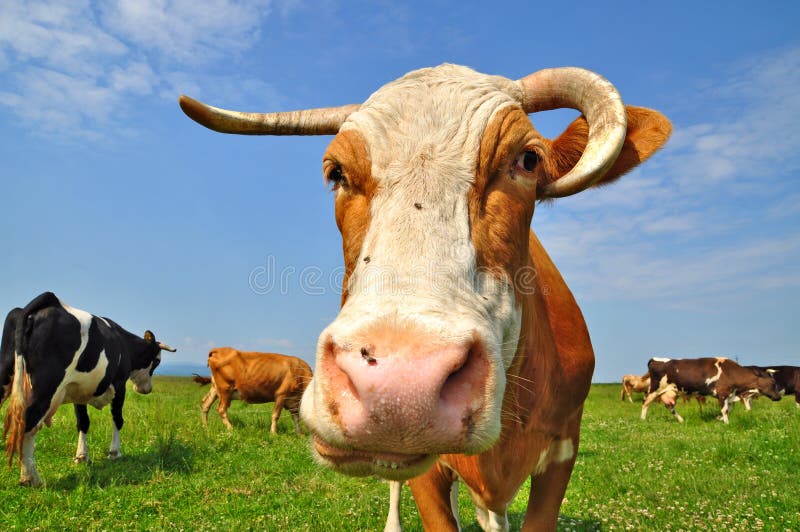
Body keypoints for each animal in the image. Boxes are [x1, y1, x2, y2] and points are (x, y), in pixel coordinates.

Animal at [0, 290, 175, 486]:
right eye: (157, 361)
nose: (147, 389)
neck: (124, 342)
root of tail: (49, 300)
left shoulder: (78, 389)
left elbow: (83, 422)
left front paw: (82, 456)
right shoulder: (120, 384)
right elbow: (118, 419)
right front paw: (115, 453)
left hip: (5, 373)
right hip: (47, 387)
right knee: (28, 423)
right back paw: (30, 478)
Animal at [644, 358, 780, 424]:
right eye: (772, 383)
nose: (779, 397)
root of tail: (654, 359)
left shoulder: (730, 395)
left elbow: (729, 409)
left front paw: (718, 419)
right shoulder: (722, 393)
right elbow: (725, 410)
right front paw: (726, 423)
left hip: (672, 391)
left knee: (669, 406)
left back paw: (681, 420)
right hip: (655, 389)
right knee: (645, 403)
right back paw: (643, 420)